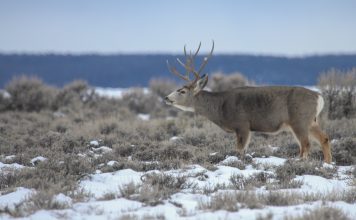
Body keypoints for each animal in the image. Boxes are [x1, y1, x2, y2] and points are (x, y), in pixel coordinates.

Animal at [165, 42, 332, 164]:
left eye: (182, 91)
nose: (166, 98)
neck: (220, 107)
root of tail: (319, 96)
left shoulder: (242, 125)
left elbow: (239, 150)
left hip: (299, 120)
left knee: (306, 145)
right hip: (311, 121)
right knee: (324, 138)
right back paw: (327, 164)